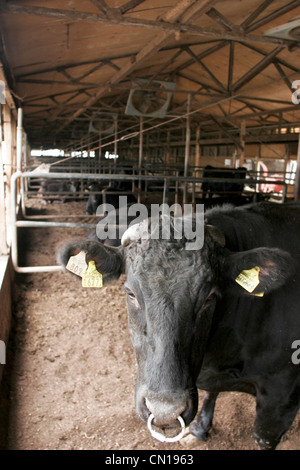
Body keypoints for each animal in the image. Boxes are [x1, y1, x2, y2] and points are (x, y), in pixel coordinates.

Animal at [58, 203, 300, 452]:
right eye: (131, 293)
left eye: (209, 297)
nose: (165, 412)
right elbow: (211, 393)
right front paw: (200, 430)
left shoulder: (281, 397)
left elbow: (263, 436)